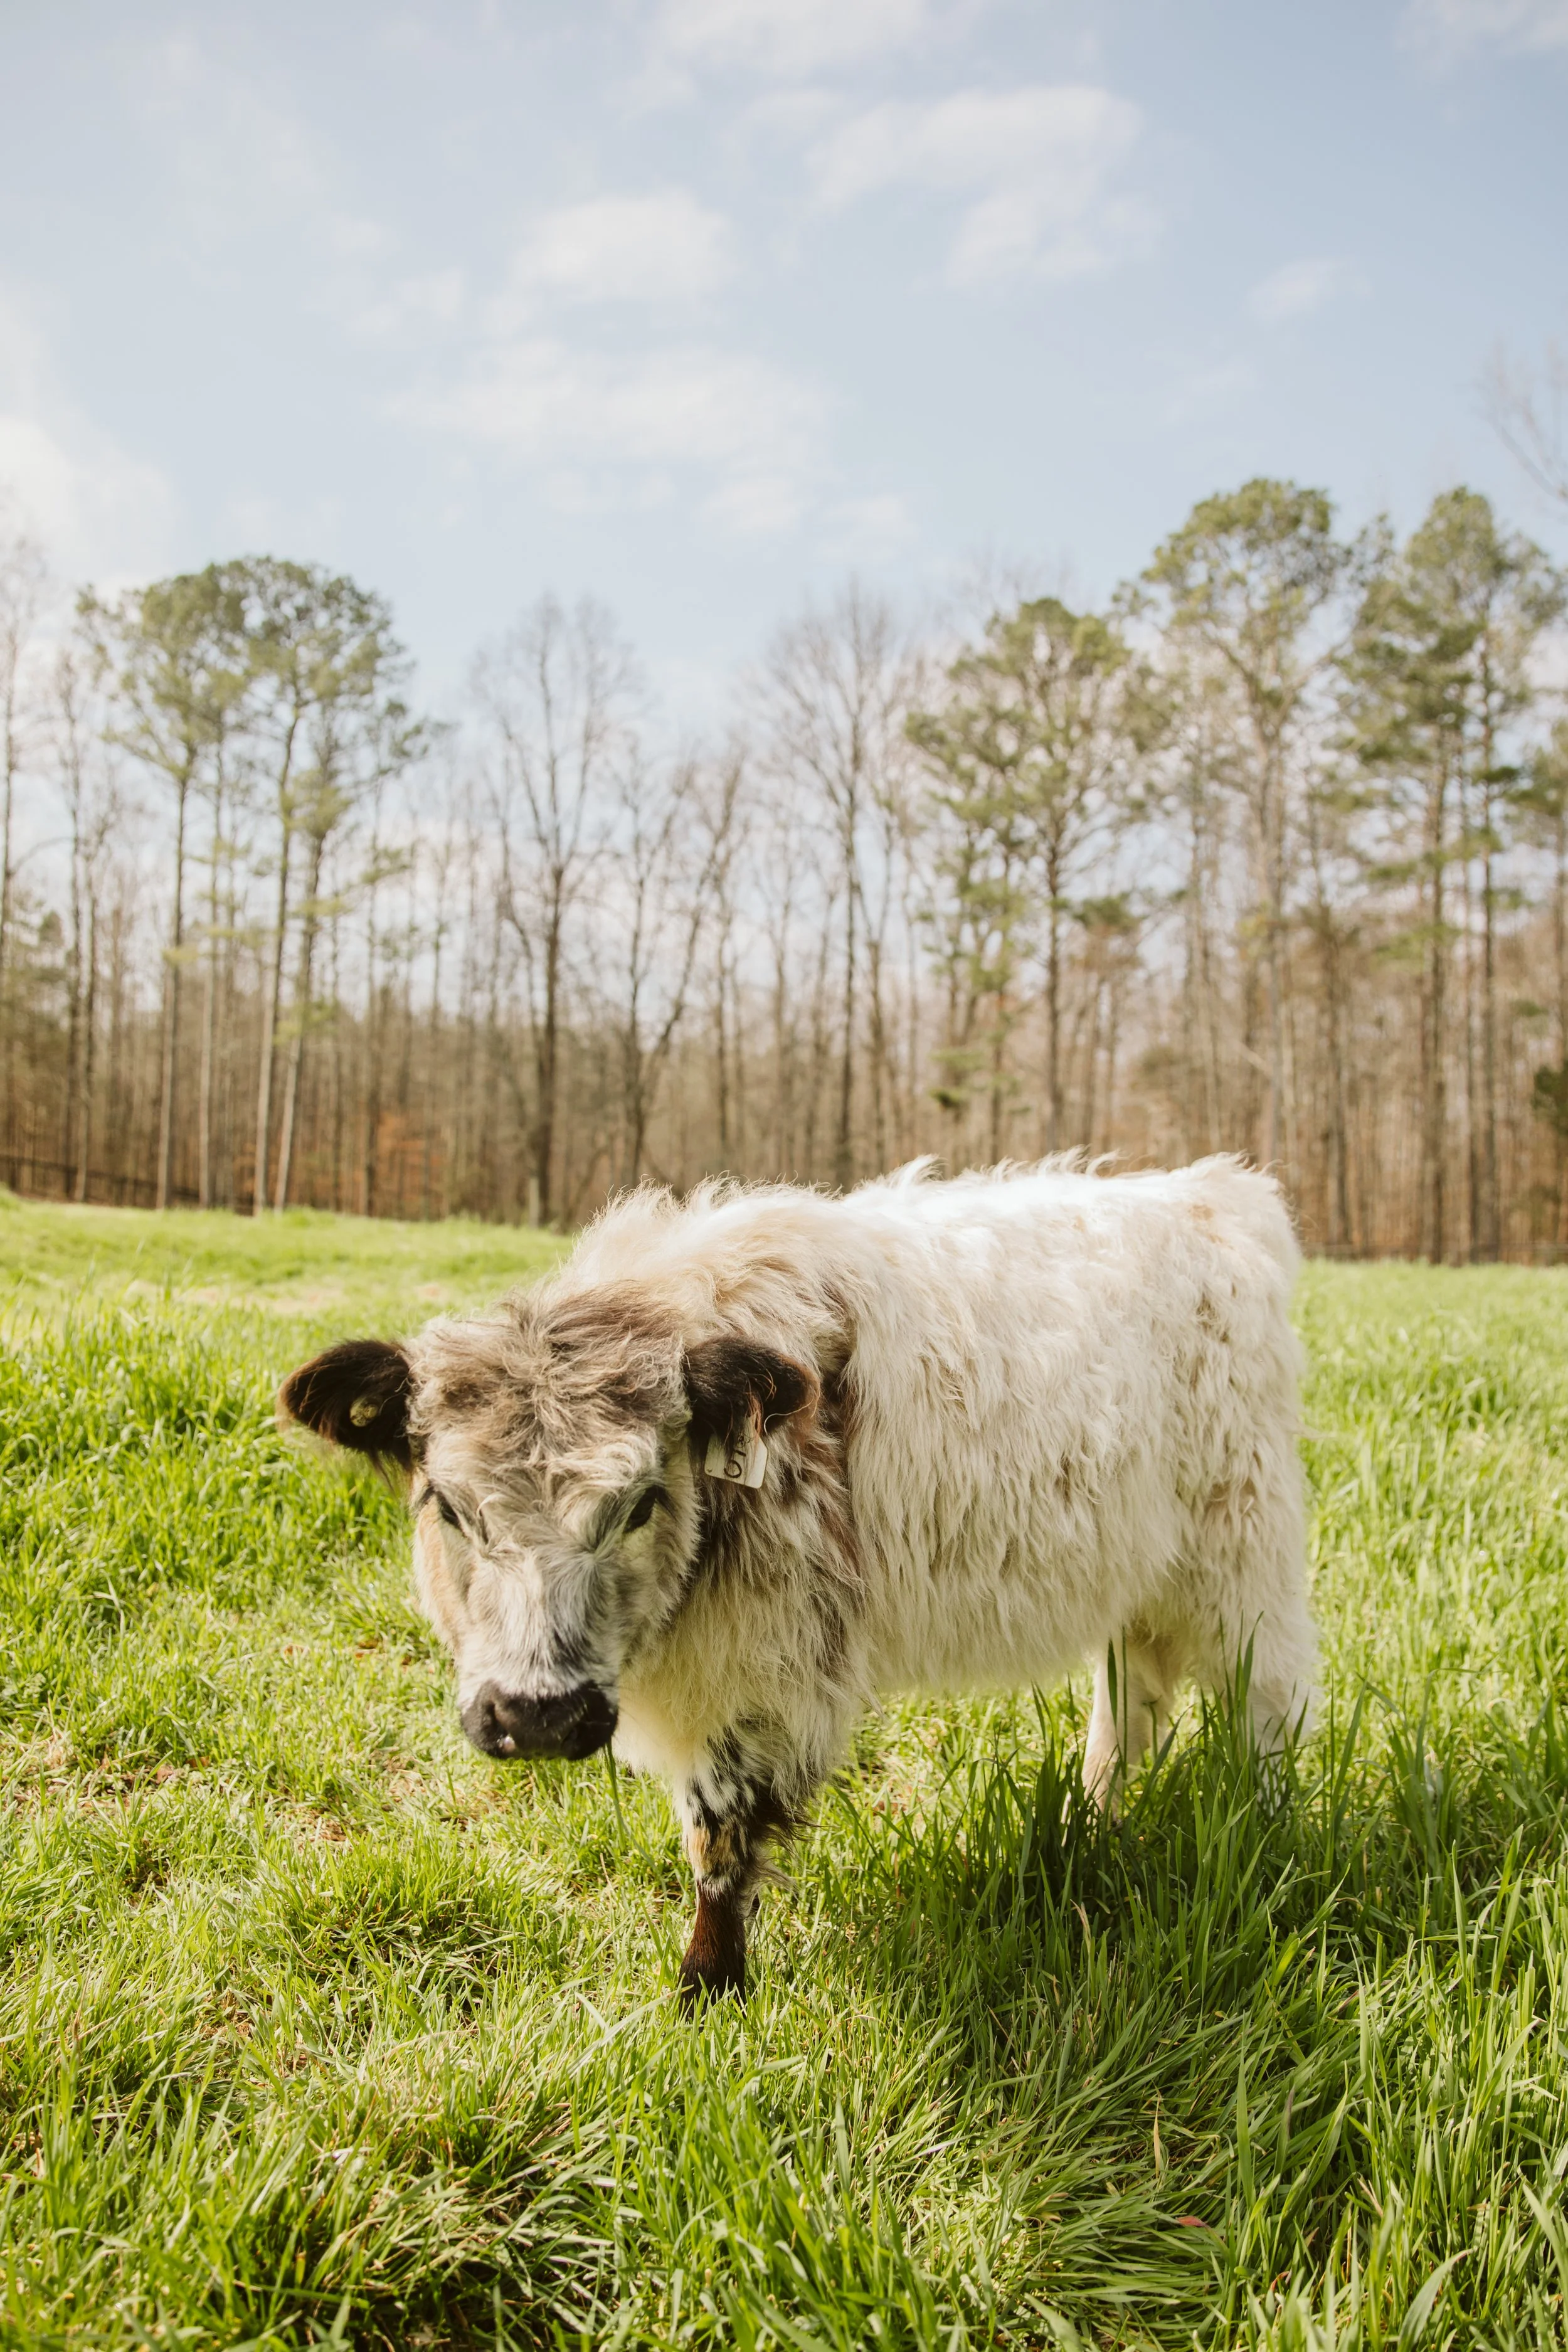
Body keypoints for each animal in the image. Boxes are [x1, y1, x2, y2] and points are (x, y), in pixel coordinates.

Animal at [279, 1156, 1316, 2006]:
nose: (538, 1715)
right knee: (1131, 1702)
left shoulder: (768, 1674)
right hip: (1136, 1578)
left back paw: (1269, 1837)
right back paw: (1099, 1817)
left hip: (1246, 1554)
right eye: (448, 1506)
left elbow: (720, 1842)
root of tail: (1218, 1191)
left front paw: (707, 1993)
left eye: (641, 1501)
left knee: (1268, 1701)